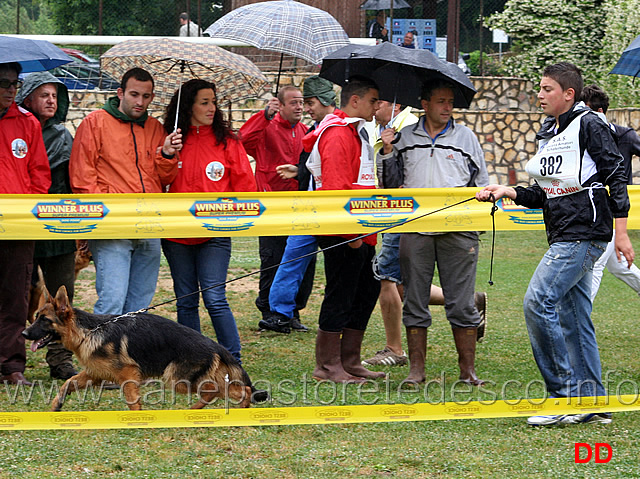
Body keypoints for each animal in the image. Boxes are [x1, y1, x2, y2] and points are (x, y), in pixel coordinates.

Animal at [21, 284, 268, 412]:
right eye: (36, 317)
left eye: (44, 320)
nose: (23, 334)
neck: (89, 331)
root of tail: (214, 343)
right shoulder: (95, 374)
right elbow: (68, 384)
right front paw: (56, 406)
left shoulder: (128, 374)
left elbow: (132, 400)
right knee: (223, 390)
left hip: (176, 379)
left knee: (223, 390)